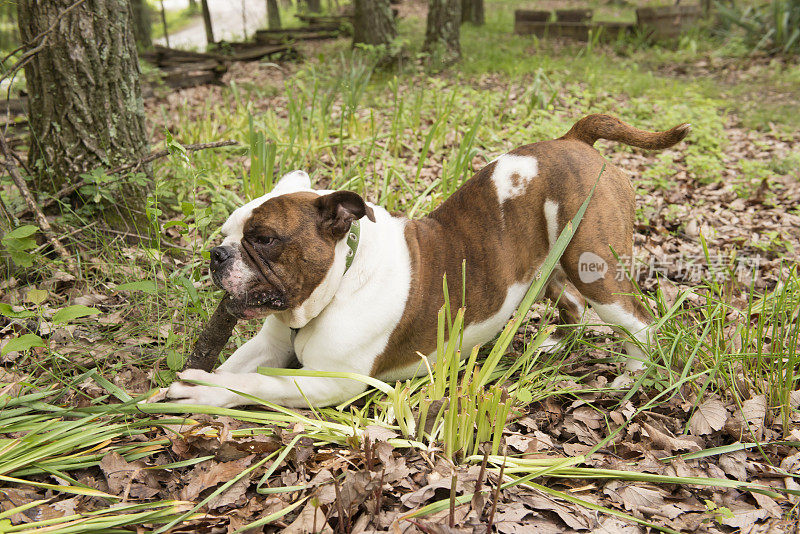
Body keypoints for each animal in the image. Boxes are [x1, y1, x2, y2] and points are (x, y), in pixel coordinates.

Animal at [167, 115, 688, 408]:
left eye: (264, 239)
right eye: (225, 233)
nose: (216, 255)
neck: (339, 280)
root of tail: (574, 140)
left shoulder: (331, 383)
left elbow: (255, 387)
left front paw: (202, 392)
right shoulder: (268, 345)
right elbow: (237, 365)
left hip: (592, 265)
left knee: (639, 321)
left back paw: (634, 374)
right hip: (547, 264)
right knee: (573, 305)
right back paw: (552, 345)